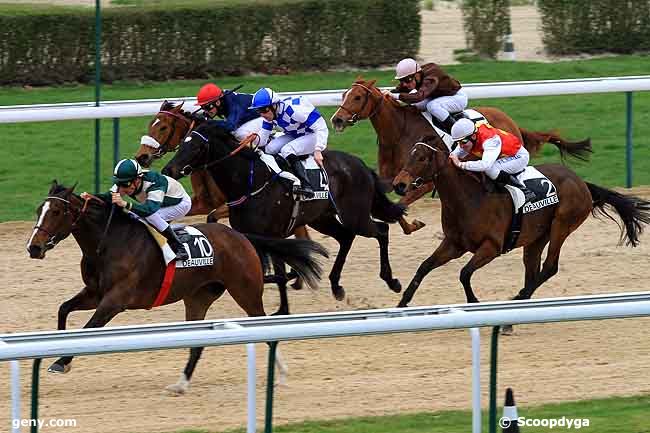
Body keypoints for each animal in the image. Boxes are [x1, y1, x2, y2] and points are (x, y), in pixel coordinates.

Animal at [27, 180, 326, 392]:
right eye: (39, 210)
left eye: (56, 211)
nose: (34, 248)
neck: (108, 242)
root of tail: (241, 236)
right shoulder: (94, 293)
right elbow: (63, 309)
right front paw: (56, 350)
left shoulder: (115, 300)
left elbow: (88, 328)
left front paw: (60, 362)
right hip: (198, 297)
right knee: (197, 343)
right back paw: (181, 384)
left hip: (246, 292)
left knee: (265, 328)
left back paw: (281, 374)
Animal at [161, 122, 404, 310]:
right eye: (182, 143)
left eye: (196, 146)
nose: (168, 170)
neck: (250, 182)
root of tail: (360, 164)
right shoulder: (252, 236)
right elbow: (269, 271)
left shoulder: (273, 235)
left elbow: (276, 272)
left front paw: (284, 302)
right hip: (322, 218)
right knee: (346, 237)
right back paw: (336, 285)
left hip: (356, 215)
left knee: (381, 230)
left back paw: (391, 281)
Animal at [332, 77, 588, 233]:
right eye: (344, 94)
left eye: (357, 97)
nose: (337, 119)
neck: (399, 132)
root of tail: (510, 121)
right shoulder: (394, 178)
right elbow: (392, 203)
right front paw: (409, 224)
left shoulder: (423, 182)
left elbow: (402, 203)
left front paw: (414, 224)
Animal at [390, 135, 648, 308]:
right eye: (409, 154)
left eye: (422, 158)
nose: (399, 184)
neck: (469, 199)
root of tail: (582, 182)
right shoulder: (454, 244)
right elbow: (424, 267)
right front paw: (402, 303)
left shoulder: (492, 246)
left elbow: (464, 273)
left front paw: (474, 301)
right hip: (537, 237)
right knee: (533, 269)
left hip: (562, 225)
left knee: (549, 267)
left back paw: (517, 301)